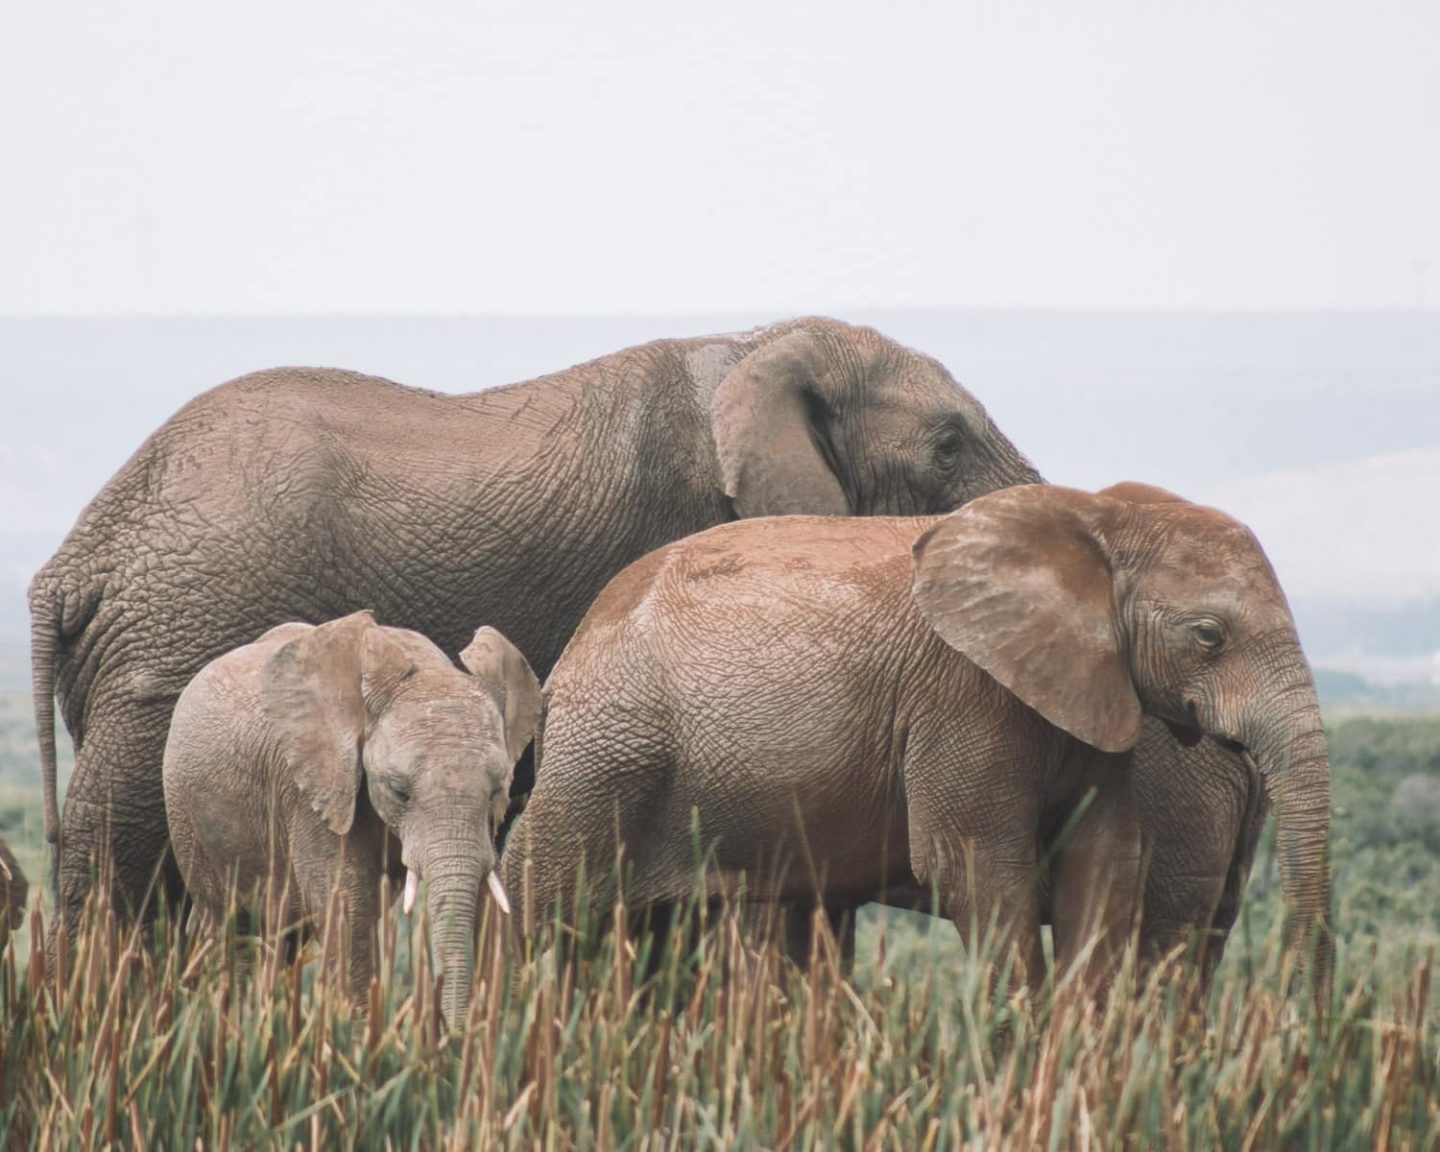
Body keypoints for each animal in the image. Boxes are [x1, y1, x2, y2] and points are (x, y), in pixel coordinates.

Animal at [163, 610, 541, 1025]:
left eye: (497, 790)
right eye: (399, 791)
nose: (454, 1033)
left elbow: (487, 902)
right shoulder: (313, 789)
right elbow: (348, 907)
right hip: (186, 813)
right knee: (232, 927)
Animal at [506, 480, 1336, 996]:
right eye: (1209, 636)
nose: (1301, 1003)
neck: (1098, 518)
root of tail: (580, 637)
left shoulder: (1095, 697)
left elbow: (1104, 862)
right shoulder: (963, 698)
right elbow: (975, 869)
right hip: (607, 750)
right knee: (537, 895)